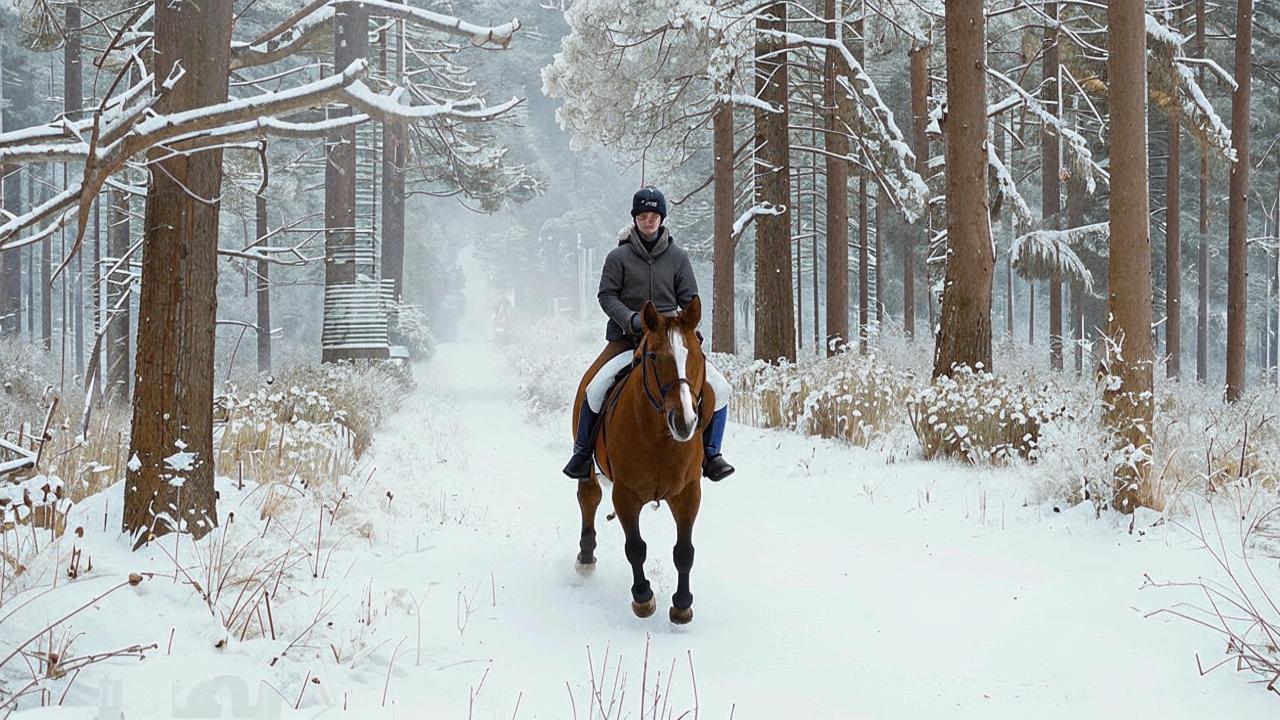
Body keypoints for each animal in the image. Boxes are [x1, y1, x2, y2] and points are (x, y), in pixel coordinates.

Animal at [568, 294, 711, 620]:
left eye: (697, 354)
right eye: (655, 357)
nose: (684, 421)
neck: (660, 439)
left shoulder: (688, 492)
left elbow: (684, 551)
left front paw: (682, 604)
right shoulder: (626, 494)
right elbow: (635, 547)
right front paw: (643, 597)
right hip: (588, 467)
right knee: (589, 497)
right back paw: (585, 556)